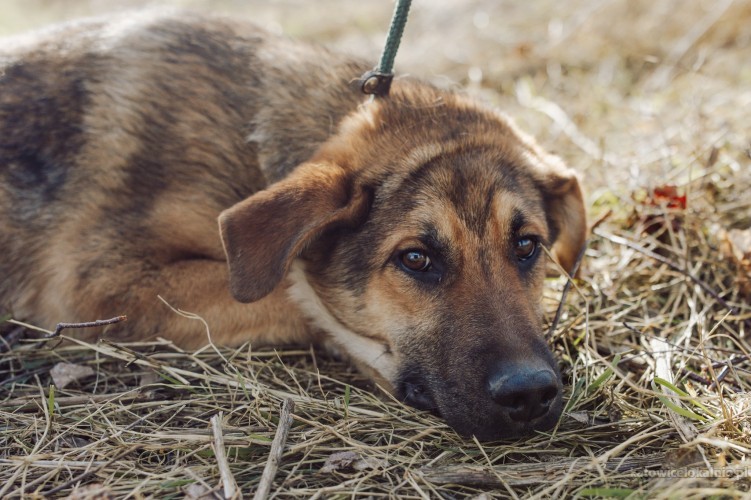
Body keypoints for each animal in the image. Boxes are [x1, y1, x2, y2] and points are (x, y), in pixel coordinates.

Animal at [0, 10, 588, 442]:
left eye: (527, 246)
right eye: (416, 259)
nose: (530, 394)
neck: (252, 151)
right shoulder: (102, 284)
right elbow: (292, 292)